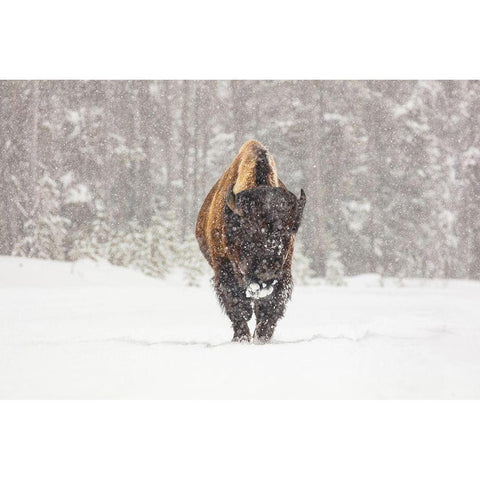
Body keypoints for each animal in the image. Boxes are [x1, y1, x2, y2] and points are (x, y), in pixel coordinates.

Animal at [196, 141, 306, 344]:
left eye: (290, 231)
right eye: (249, 230)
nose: (267, 273)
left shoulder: (284, 273)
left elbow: (271, 307)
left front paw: (261, 338)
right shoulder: (223, 268)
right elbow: (236, 303)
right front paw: (241, 338)